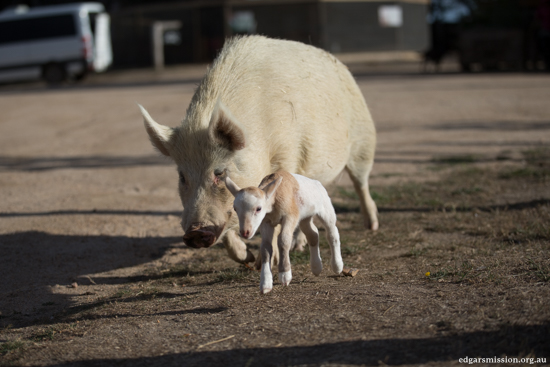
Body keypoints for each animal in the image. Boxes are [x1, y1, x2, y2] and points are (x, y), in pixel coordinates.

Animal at [140, 35, 378, 264]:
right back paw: (298, 246)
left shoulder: (287, 156)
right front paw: (248, 259)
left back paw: (371, 225)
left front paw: (266, 263)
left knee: (361, 182)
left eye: (220, 172)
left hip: (363, 140)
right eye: (182, 177)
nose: (195, 232)